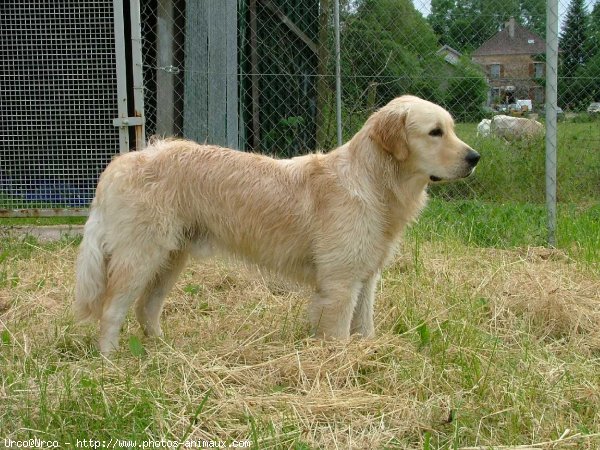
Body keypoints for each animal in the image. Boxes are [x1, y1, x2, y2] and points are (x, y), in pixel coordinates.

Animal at [74, 96, 478, 356]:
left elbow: (365, 327)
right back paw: (111, 365)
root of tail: (120, 162)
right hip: (140, 257)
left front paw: (368, 352)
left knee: (147, 309)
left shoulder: (366, 278)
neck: (374, 182)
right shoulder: (340, 283)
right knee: (111, 311)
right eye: (435, 132)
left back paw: (163, 351)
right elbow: (339, 337)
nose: (475, 158)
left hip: (170, 259)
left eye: (452, 128)